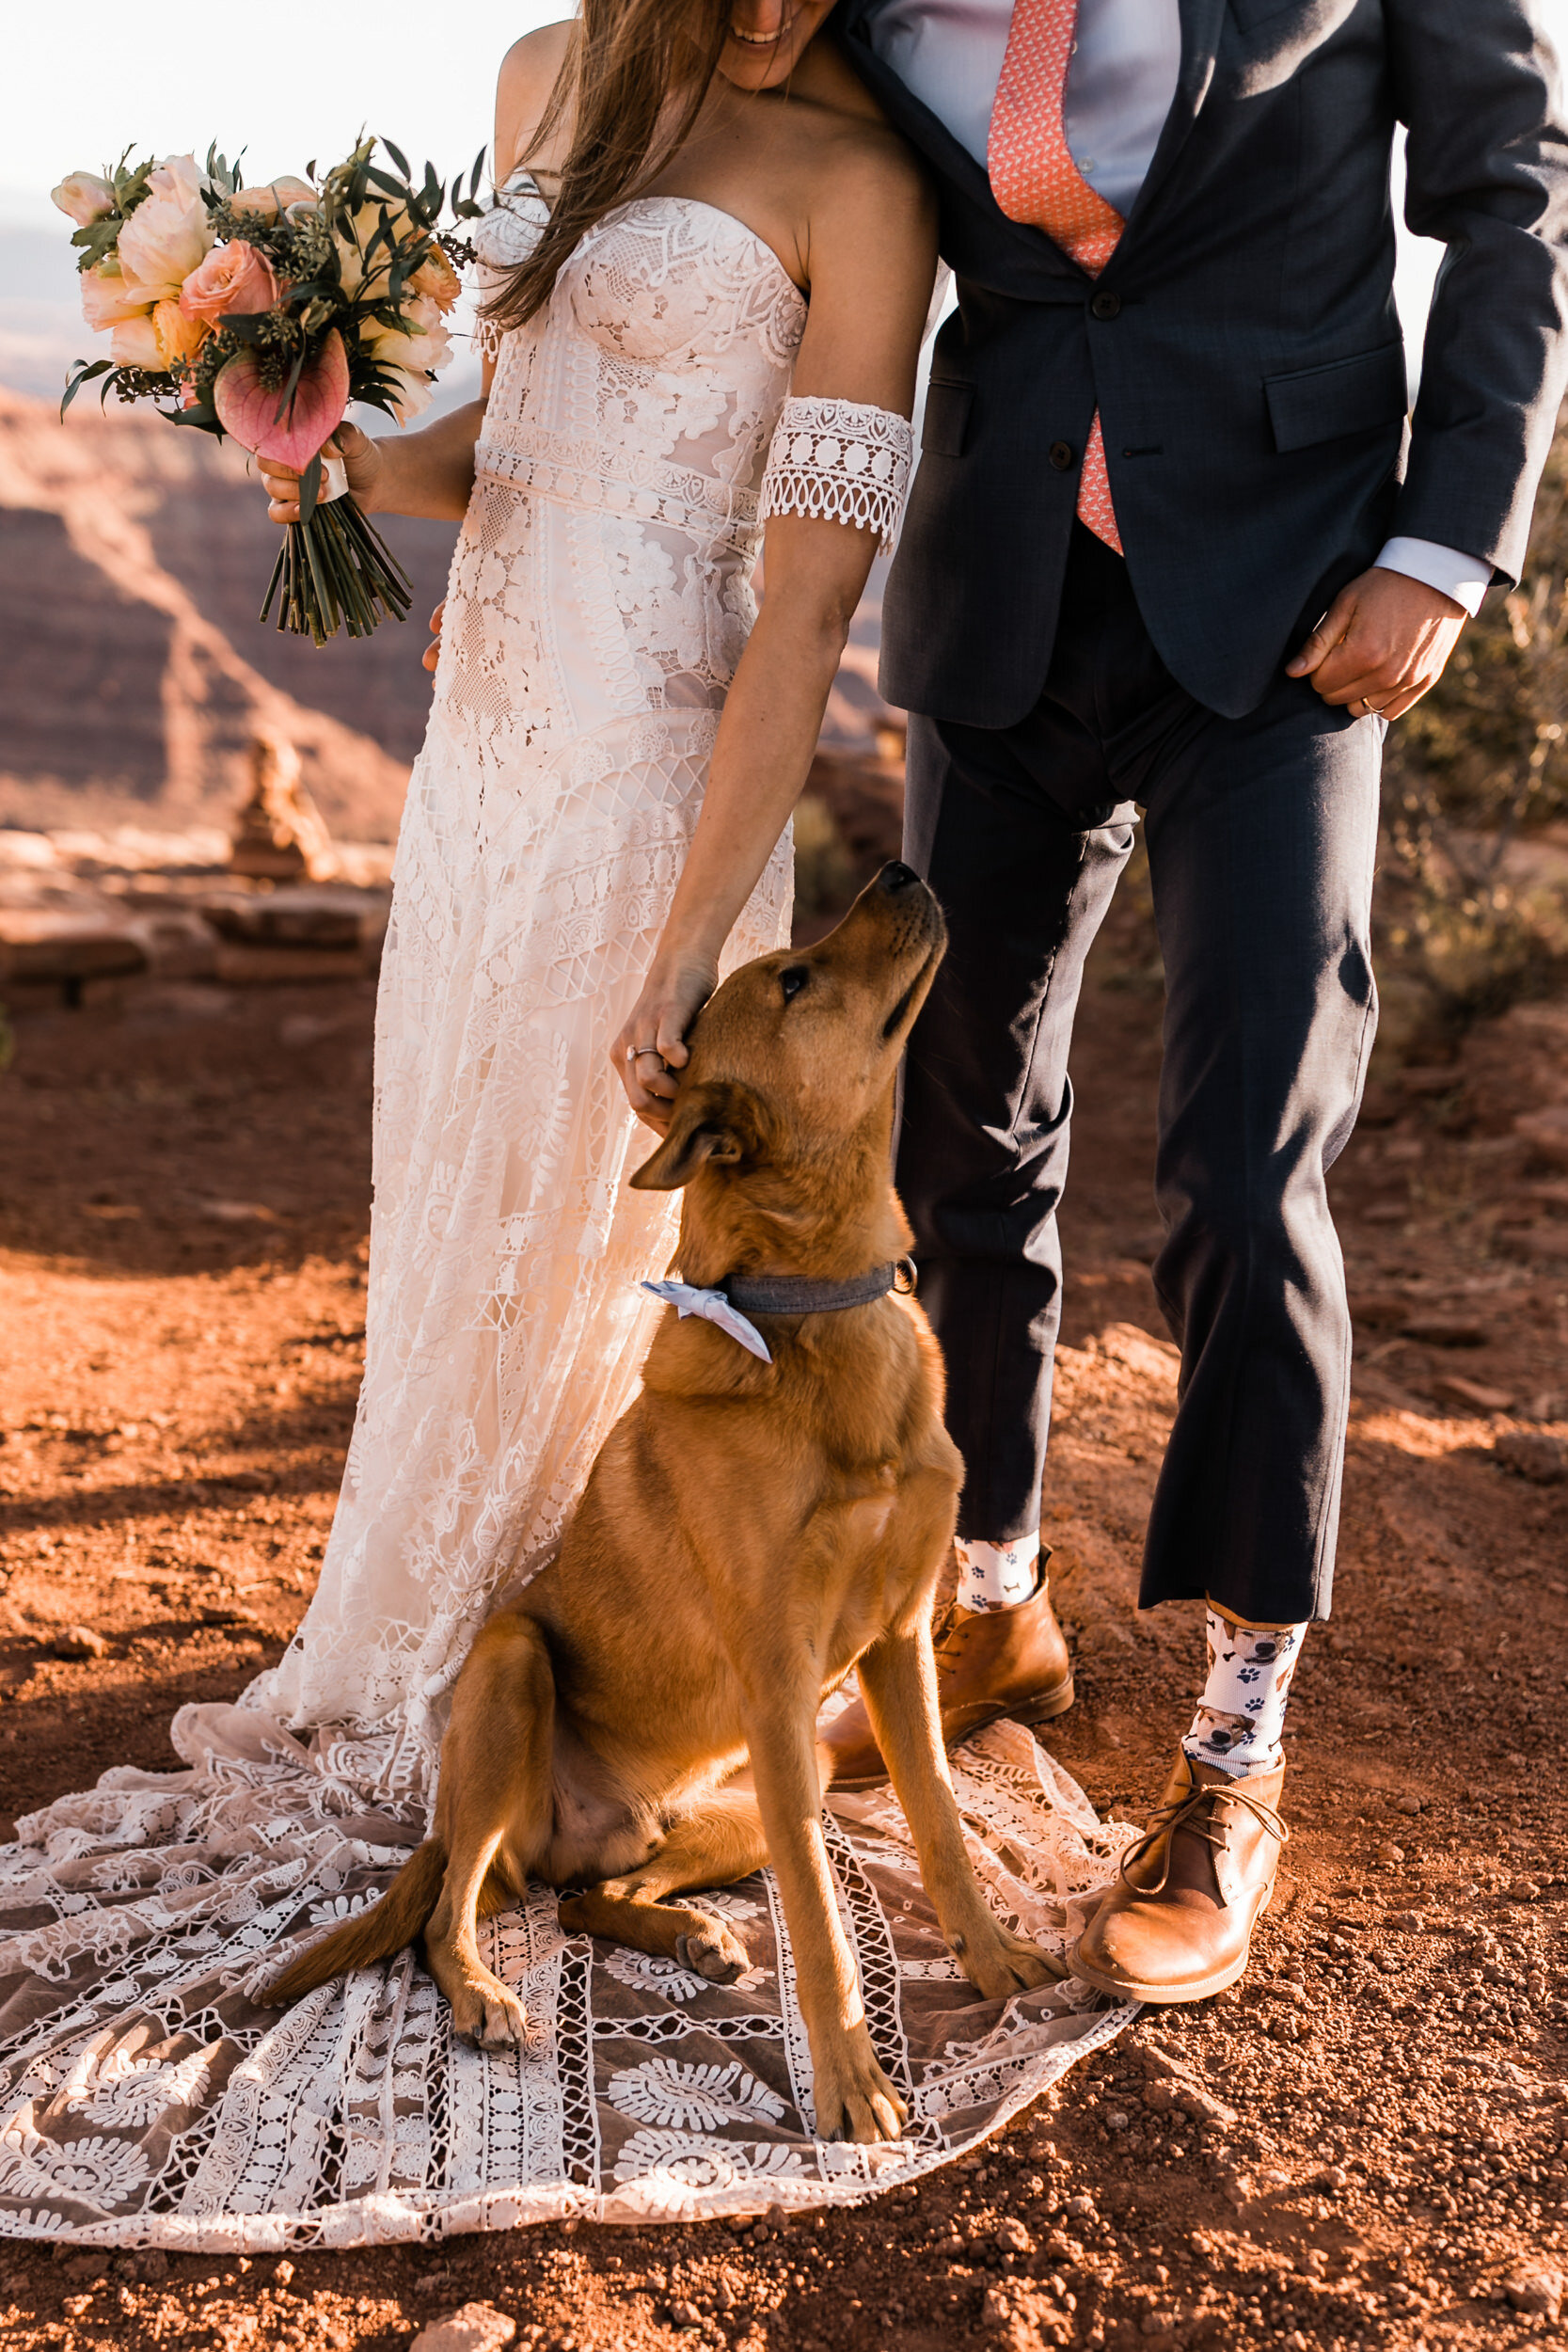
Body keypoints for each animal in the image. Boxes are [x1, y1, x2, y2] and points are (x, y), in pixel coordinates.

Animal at [266, 870, 1053, 2154]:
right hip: (514, 1676)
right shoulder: (779, 1680)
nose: (897, 870)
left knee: (597, 1898)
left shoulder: (892, 1649)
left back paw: (683, 1930)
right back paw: (483, 1993)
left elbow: (937, 1816)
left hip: (768, 1785)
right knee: (450, 1913)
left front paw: (991, 1962)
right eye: (792, 976)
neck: (815, 1311)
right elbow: (821, 1918)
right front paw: (851, 2084)